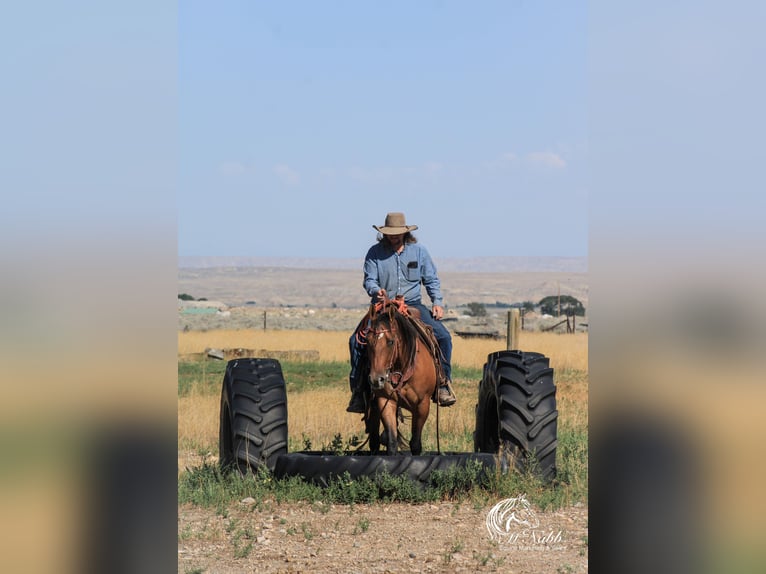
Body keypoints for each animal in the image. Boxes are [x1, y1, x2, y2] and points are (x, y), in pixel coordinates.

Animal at [356, 300, 440, 456]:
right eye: (367, 341)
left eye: (391, 342)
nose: (376, 379)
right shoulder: (385, 401)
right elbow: (391, 441)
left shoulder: (422, 405)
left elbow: (415, 444)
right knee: (374, 441)